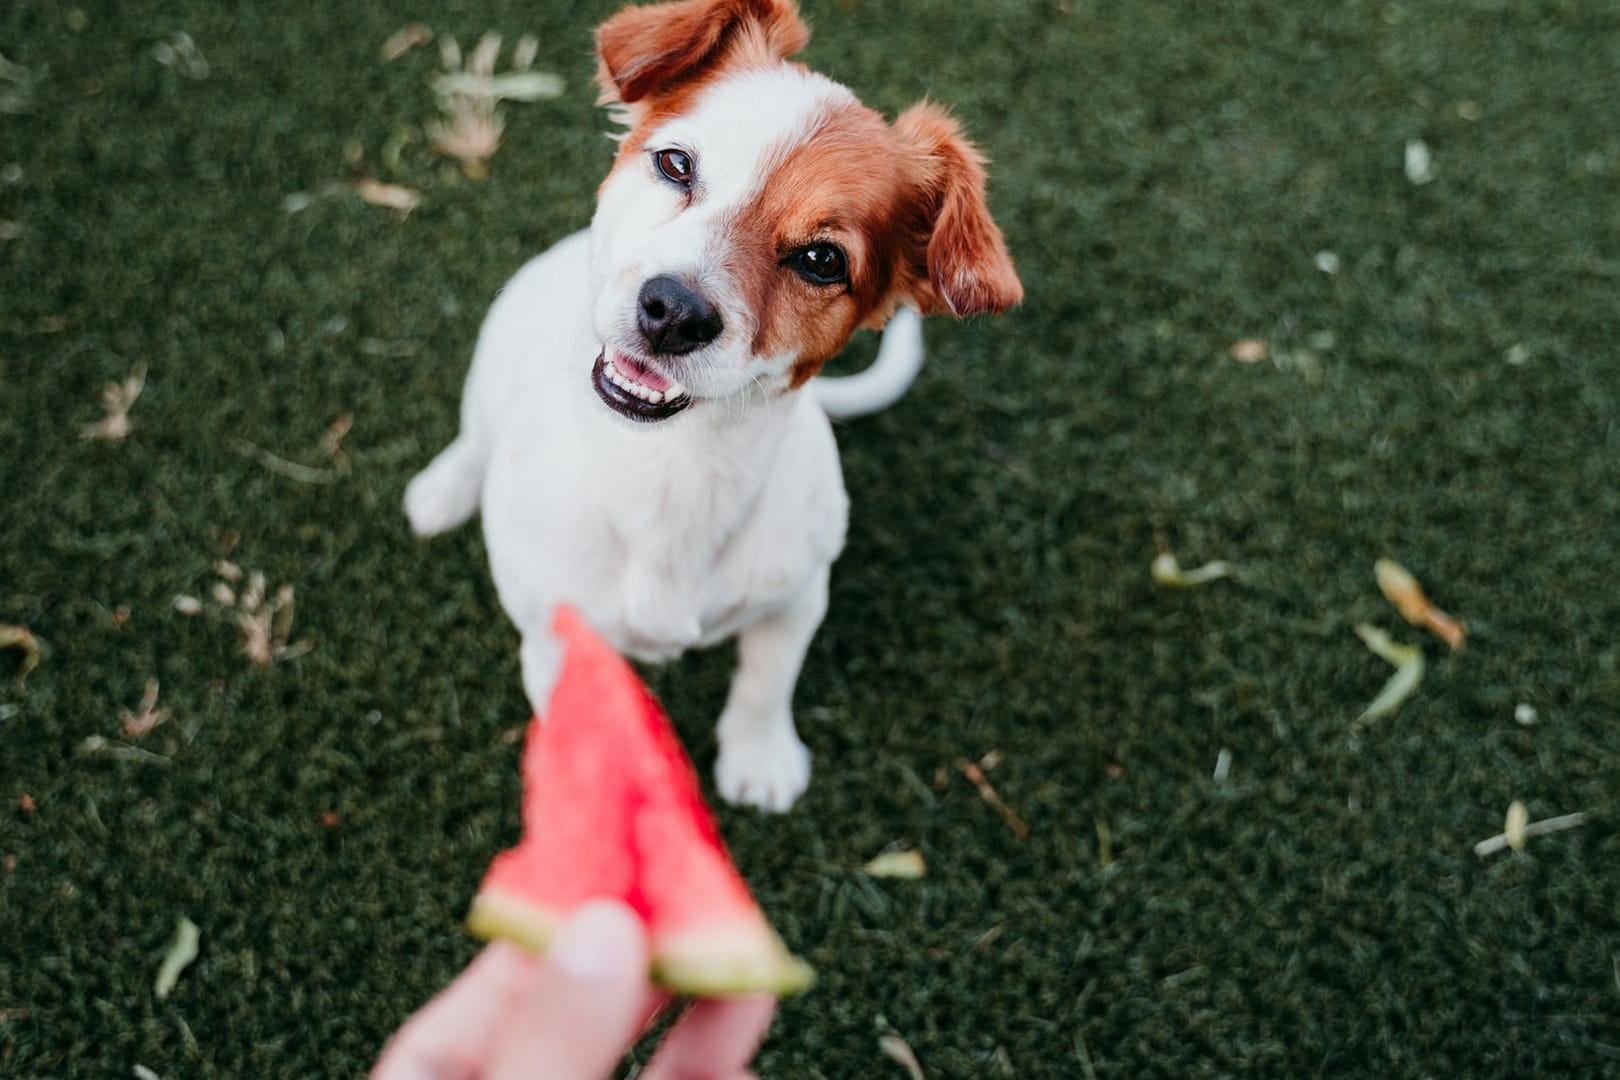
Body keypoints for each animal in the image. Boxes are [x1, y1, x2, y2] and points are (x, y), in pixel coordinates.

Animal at [405, 0, 1017, 809]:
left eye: (822, 260)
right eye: (676, 164)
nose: (673, 312)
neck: (674, 467)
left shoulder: (798, 598)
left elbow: (765, 681)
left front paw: (759, 759)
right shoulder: (556, 641)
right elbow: (591, 733)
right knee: (475, 436)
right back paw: (443, 491)